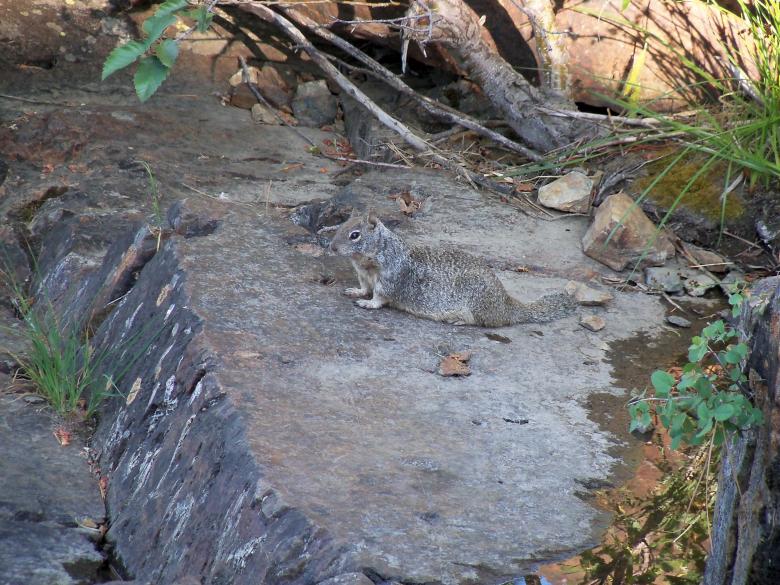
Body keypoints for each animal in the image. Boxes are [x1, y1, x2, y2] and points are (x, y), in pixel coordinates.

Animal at [328, 213, 577, 327]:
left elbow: (380, 298)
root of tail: (506, 306)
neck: (365, 262)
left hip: (476, 303)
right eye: (340, 225)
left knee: (483, 322)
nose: (331, 247)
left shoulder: (390, 279)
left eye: (355, 235)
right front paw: (356, 292)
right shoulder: (363, 276)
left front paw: (368, 303)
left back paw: (459, 320)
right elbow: (363, 287)